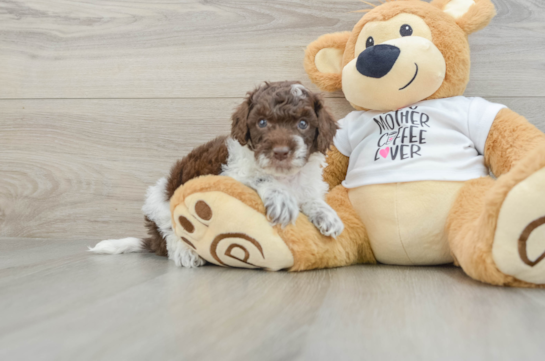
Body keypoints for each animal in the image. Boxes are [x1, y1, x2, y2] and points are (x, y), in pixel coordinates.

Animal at [91, 82, 342, 268]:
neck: (285, 176)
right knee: (169, 234)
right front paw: (281, 198)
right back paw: (185, 253)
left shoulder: (307, 185)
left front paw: (326, 214)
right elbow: (260, 178)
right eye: (262, 122)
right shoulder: (231, 175)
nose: (281, 152)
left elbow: (311, 199)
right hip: (159, 201)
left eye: (303, 124)